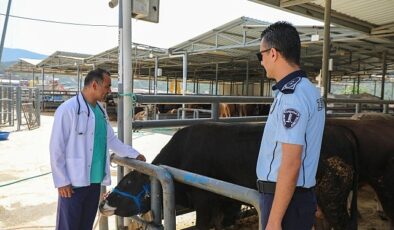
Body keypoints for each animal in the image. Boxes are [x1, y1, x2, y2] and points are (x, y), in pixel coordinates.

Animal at [101, 121, 394, 229]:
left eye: (129, 180)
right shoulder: (227, 201)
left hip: (333, 196)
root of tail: (341, 128)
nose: (104, 202)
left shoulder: (205, 200)